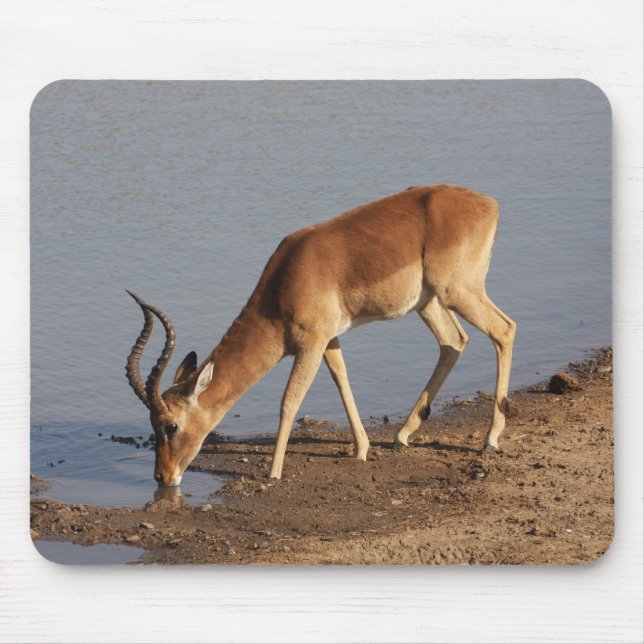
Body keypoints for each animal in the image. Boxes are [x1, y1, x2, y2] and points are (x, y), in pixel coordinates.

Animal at [126, 185, 516, 485]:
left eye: (171, 425)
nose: (163, 477)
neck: (285, 281)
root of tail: (488, 203)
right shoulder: (329, 339)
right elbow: (342, 381)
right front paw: (362, 449)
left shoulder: (310, 344)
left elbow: (289, 402)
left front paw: (273, 472)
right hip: (429, 301)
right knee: (453, 342)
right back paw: (402, 435)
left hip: (457, 292)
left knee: (504, 330)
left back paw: (490, 439)